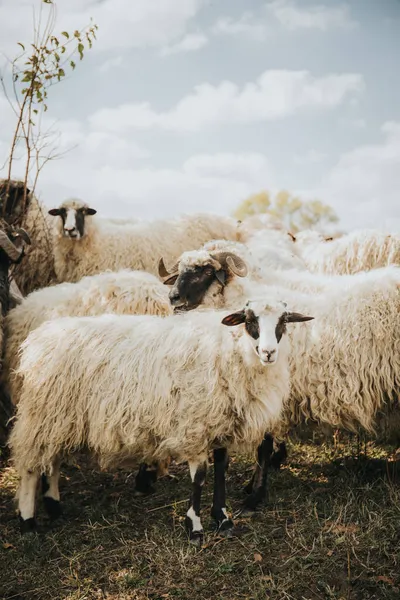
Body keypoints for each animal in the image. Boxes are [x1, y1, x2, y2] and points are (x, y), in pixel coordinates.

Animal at [8, 302, 310, 540]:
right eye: (250, 321)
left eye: (283, 321)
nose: (269, 352)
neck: (229, 351)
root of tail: (39, 337)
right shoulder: (194, 424)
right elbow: (200, 477)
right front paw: (194, 526)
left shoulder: (219, 424)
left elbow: (221, 470)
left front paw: (222, 518)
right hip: (43, 414)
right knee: (32, 468)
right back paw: (28, 521)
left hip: (60, 419)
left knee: (52, 460)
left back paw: (54, 506)